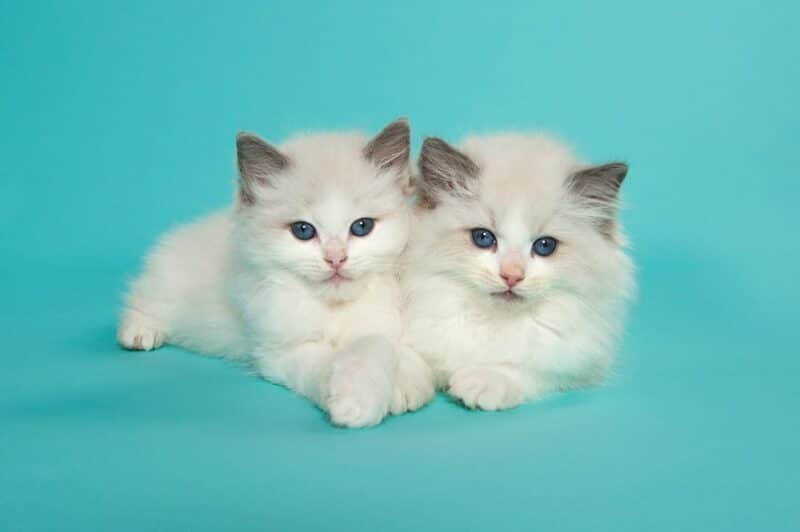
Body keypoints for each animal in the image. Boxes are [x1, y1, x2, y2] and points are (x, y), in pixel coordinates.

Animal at [122, 118, 418, 426]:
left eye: (362, 226)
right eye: (303, 230)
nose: (336, 259)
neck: (331, 309)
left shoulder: (386, 326)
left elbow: (384, 350)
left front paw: (400, 389)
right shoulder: (284, 352)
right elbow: (336, 361)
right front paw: (353, 403)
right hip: (167, 286)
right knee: (142, 300)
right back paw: (139, 334)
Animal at [396, 133, 636, 412]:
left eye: (545, 246)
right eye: (483, 238)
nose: (512, 276)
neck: (493, 323)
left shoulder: (575, 364)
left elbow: (526, 368)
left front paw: (483, 382)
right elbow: (408, 355)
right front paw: (397, 383)